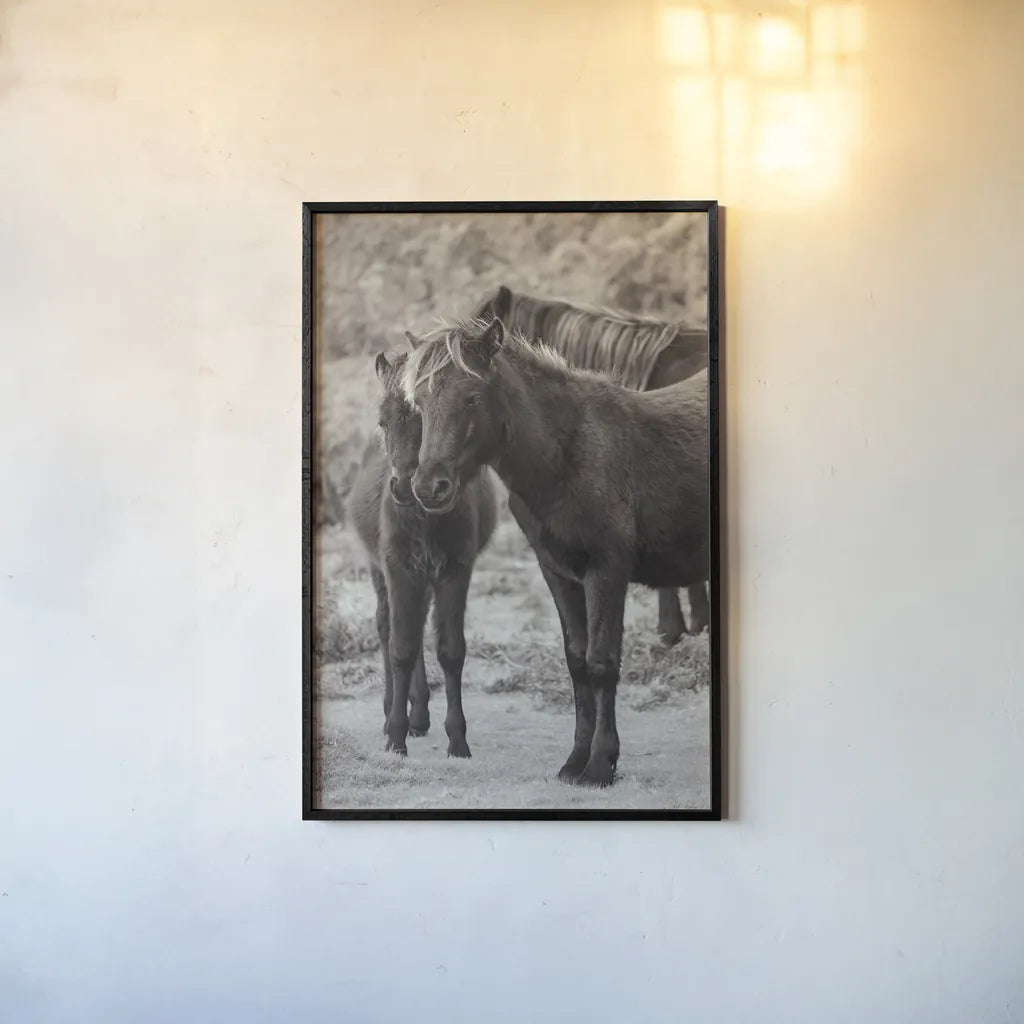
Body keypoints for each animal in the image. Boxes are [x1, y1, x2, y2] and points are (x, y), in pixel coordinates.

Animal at [346, 351, 497, 758]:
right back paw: (395, 715)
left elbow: (450, 650)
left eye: (424, 421)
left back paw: (419, 716)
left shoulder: (455, 571)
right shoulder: (399, 569)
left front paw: (457, 739)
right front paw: (395, 736)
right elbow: (401, 648)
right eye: (383, 422)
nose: (403, 486)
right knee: (388, 627)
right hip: (381, 571)